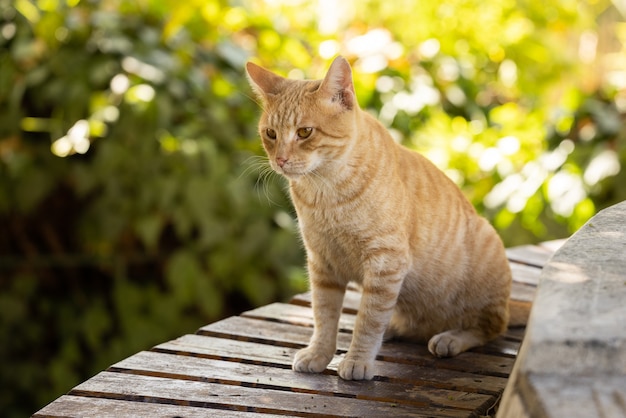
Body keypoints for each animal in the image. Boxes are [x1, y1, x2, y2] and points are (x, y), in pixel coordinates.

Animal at [246, 56, 516, 382]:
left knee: (491, 326)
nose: (281, 160)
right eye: (271, 134)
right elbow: (324, 316)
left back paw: (450, 338)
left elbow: (369, 319)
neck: (326, 193)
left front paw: (358, 360)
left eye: (305, 132)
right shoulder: (323, 264)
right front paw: (319, 354)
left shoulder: (385, 262)